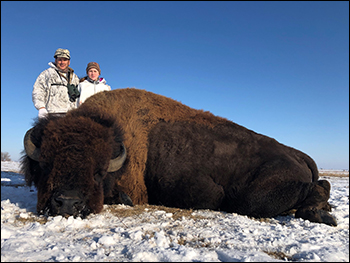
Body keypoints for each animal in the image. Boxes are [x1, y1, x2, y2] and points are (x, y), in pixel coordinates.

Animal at [20, 87, 338, 227]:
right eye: (45, 164)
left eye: (98, 172)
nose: (67, 203)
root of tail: (298, 153)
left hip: (255, 197)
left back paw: (319, 214)